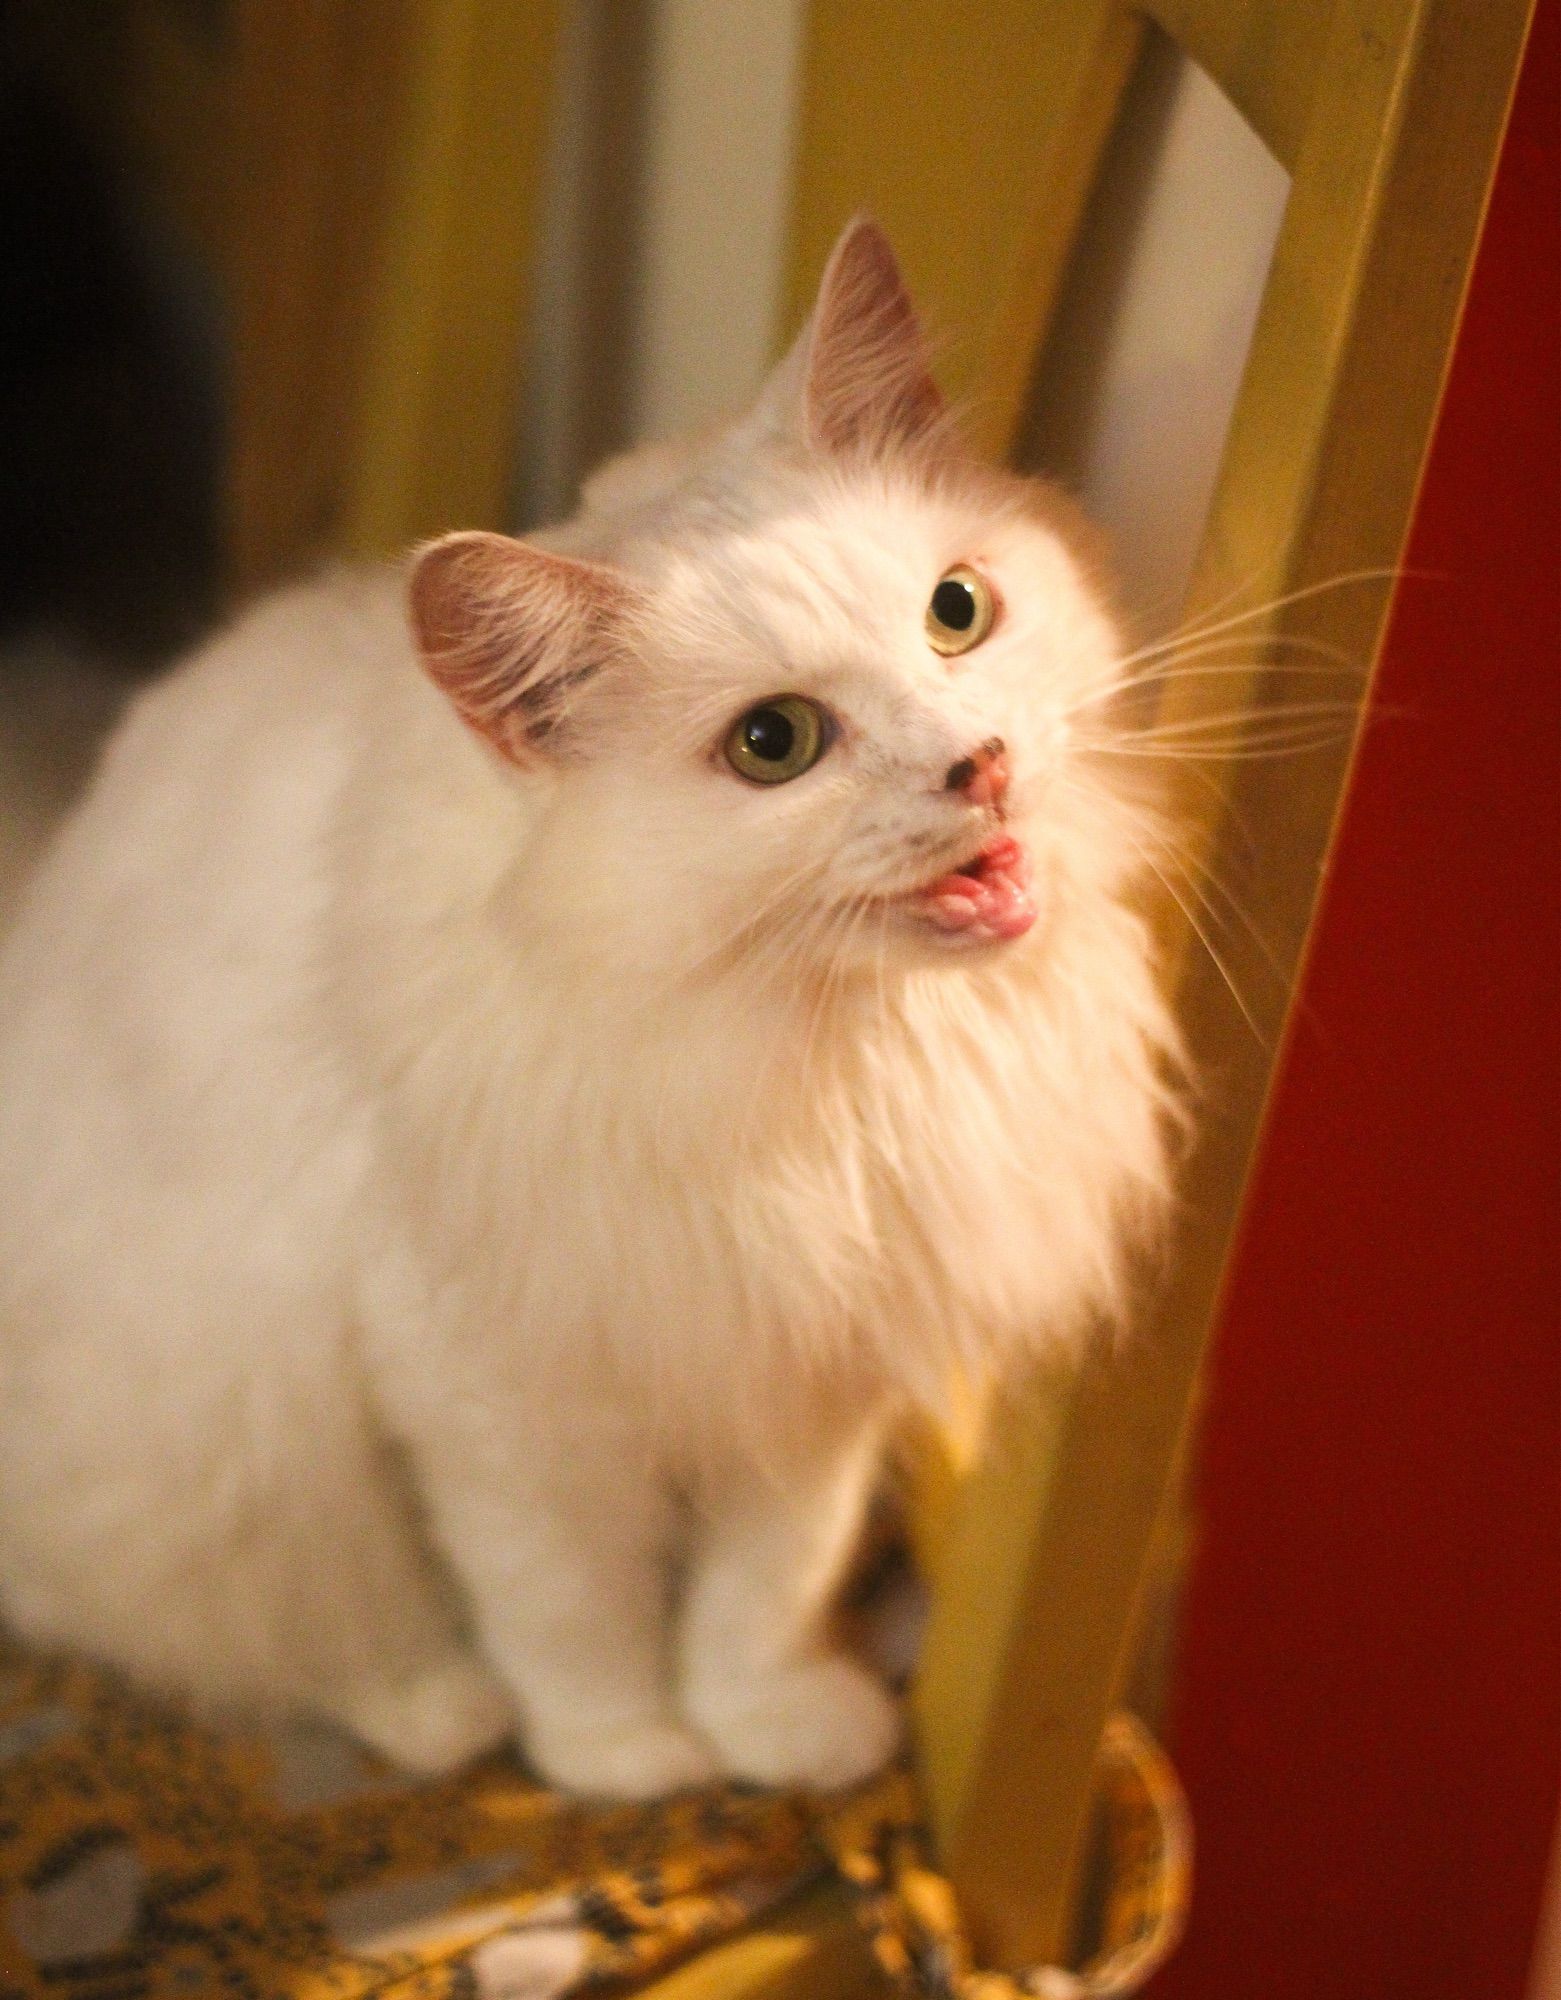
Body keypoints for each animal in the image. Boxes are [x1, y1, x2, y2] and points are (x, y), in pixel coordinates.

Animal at [0, 219, 1176, 1800]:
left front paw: (767, 1725)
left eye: (958, 612)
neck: (824, 1068)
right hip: (224, 1428)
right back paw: (442, 1708)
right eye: (774, 744)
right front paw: (626, 1756)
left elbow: (765, 1584)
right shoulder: (500, 1395)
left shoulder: (807, 1353)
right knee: (236, 1620)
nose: (976, 762)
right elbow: (571, 1603)